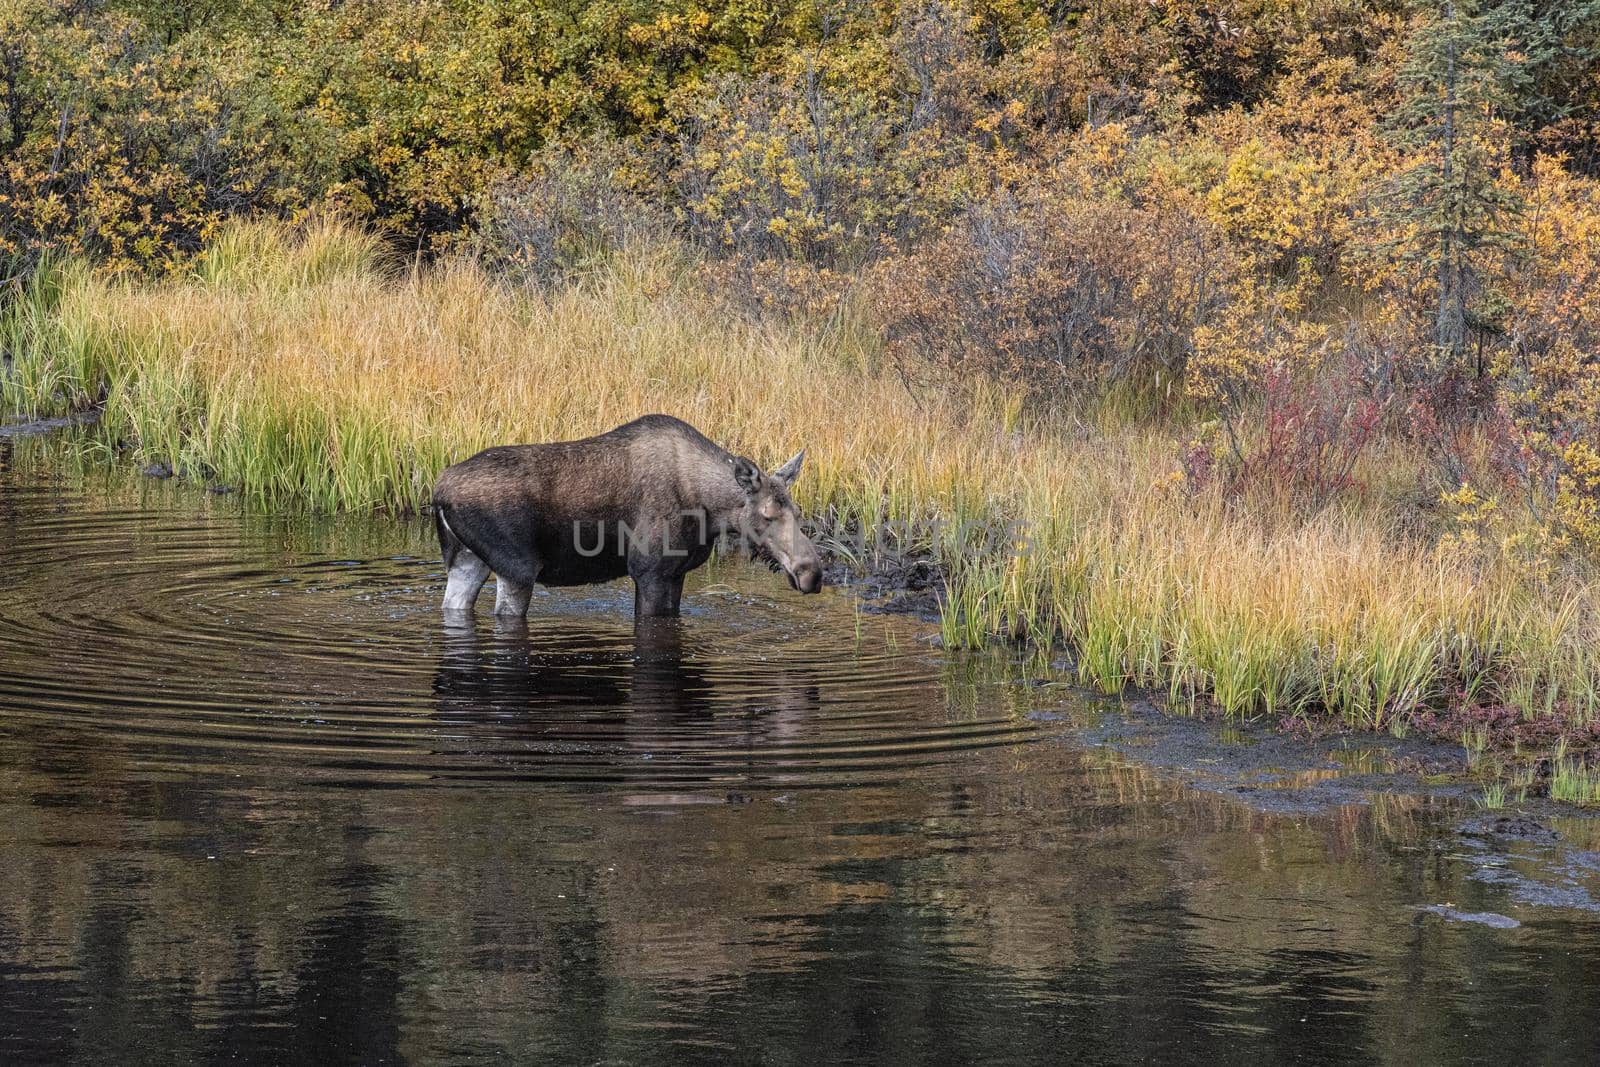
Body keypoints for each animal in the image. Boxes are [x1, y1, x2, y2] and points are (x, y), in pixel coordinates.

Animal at [432, 415, 825, 617]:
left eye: (796, 511)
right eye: (767, 515)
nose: (812, 573)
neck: (711, 514)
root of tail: (438, 492)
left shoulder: (677, 573)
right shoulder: (649, 570)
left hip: (467, 561)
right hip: (517, 567)